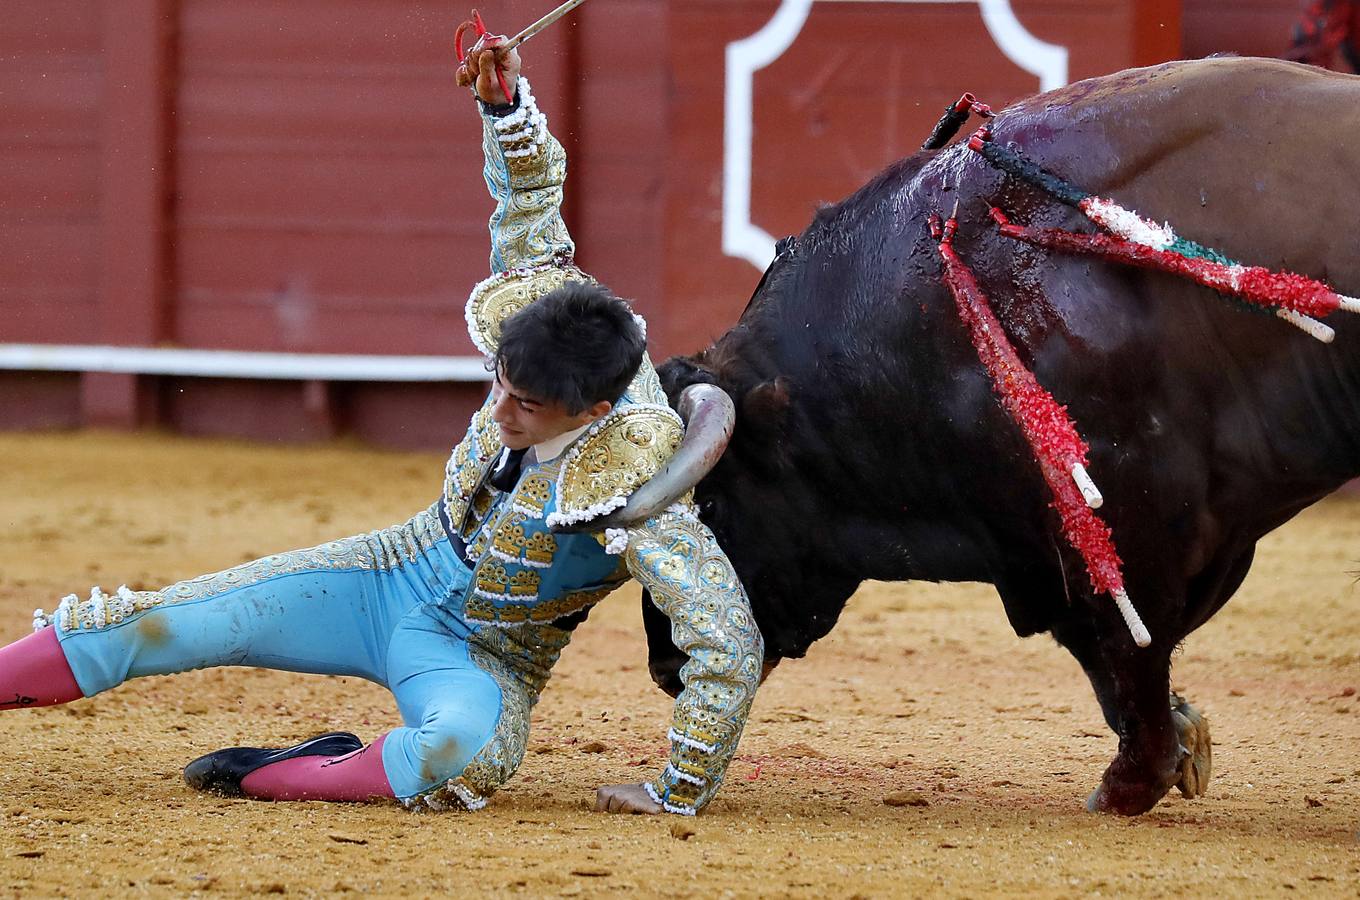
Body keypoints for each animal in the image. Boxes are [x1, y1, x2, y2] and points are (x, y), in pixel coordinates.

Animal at [644, 56, 1360, 815]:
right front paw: (1182, 744)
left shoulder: (1115, 520)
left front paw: (1127, 787)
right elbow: (1120, 664)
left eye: (711, 503)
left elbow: (1128, 653)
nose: (665, 665)